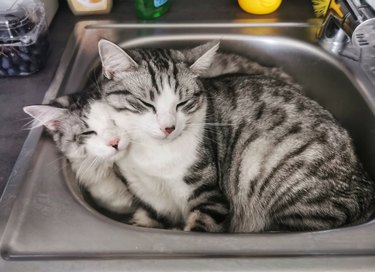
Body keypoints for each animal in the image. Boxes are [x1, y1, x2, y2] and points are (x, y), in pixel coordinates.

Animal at [24, 39, 375, 232]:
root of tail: (363, 180)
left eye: (183, 103)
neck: (155, 159)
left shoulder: (209, 195)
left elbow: (200, 224)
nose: (169, 127)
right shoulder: (145, 193)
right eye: (145, 103)